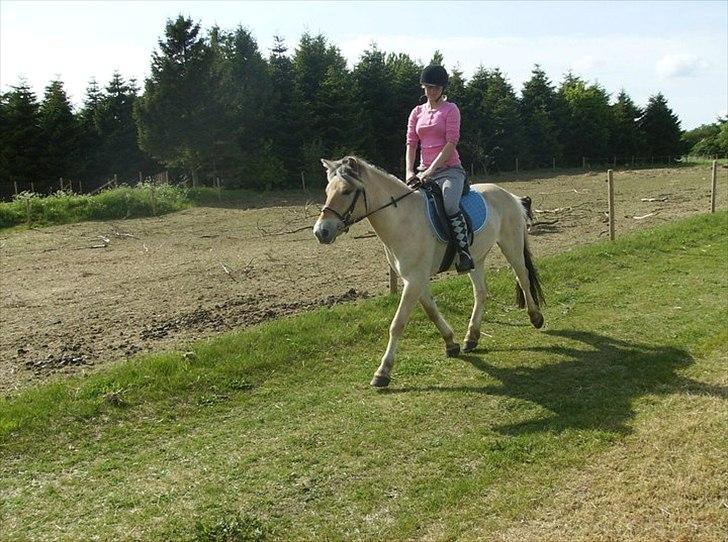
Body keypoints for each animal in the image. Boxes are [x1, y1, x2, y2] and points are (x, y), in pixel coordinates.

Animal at [310, 155, 544, 388]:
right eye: (327, 190)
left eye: (346, 191)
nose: (321, 232)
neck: (402, 219)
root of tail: (509, 195)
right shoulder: (415, 279)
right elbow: (431, 311)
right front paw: (451, 343)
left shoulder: (414, 280)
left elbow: (398, 323)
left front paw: (383, 372)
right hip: (475, 259)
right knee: (481, 292)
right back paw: (471, 338)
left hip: (510, 245)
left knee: (523, 277)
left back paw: (535, 318)